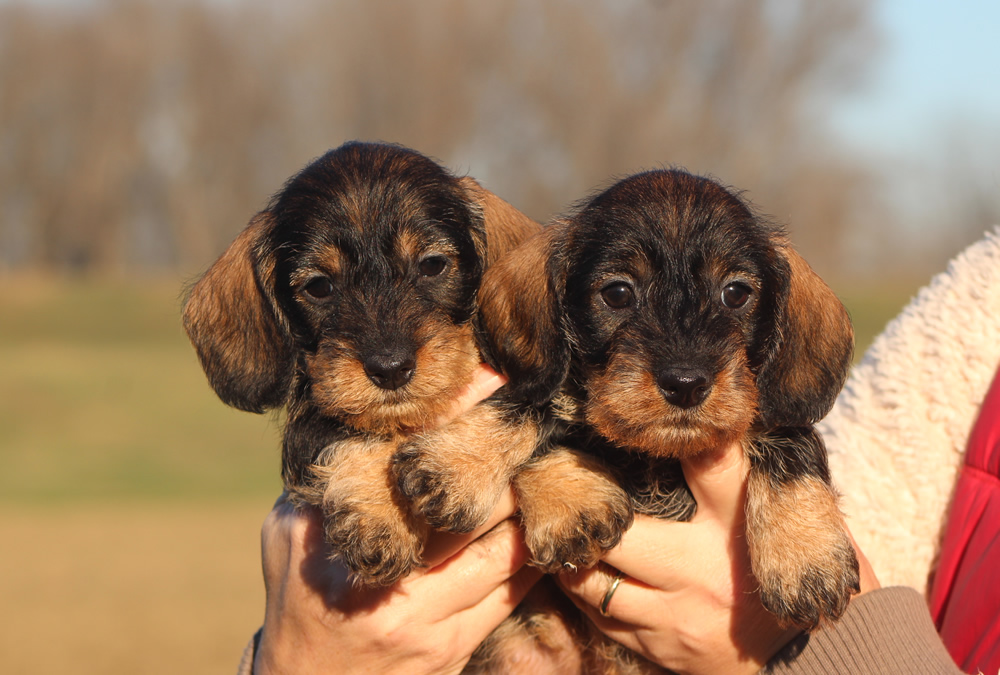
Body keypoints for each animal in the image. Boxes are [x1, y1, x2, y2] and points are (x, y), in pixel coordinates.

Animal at [181, 141, 544, 588]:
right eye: (319, 286)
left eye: (433, 264)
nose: (390, 368)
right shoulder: (313, 414)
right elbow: (346, 428)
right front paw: (378, 513)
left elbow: (524, 406)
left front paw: (455, 470)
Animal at [466, 168, 852, 672]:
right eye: (617, 293)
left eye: (736, 293)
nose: (685, 383)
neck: (659, 459)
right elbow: (552, 414)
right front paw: (571, 499)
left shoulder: (775, 420)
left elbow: (794, 444)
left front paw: (806, 559)